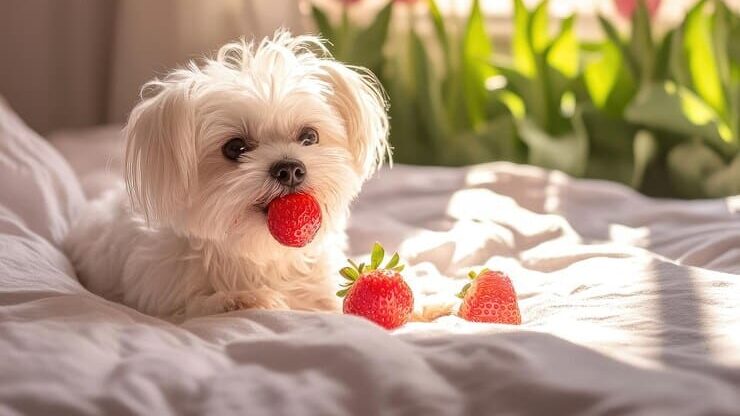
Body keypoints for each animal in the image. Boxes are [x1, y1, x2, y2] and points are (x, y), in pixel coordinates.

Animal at [64, 31, 390, 322]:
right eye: (235, 148)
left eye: (309, 137)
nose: (289, 168)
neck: (258, 254)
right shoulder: (163, 298)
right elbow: (200, 305)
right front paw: (244, 299)